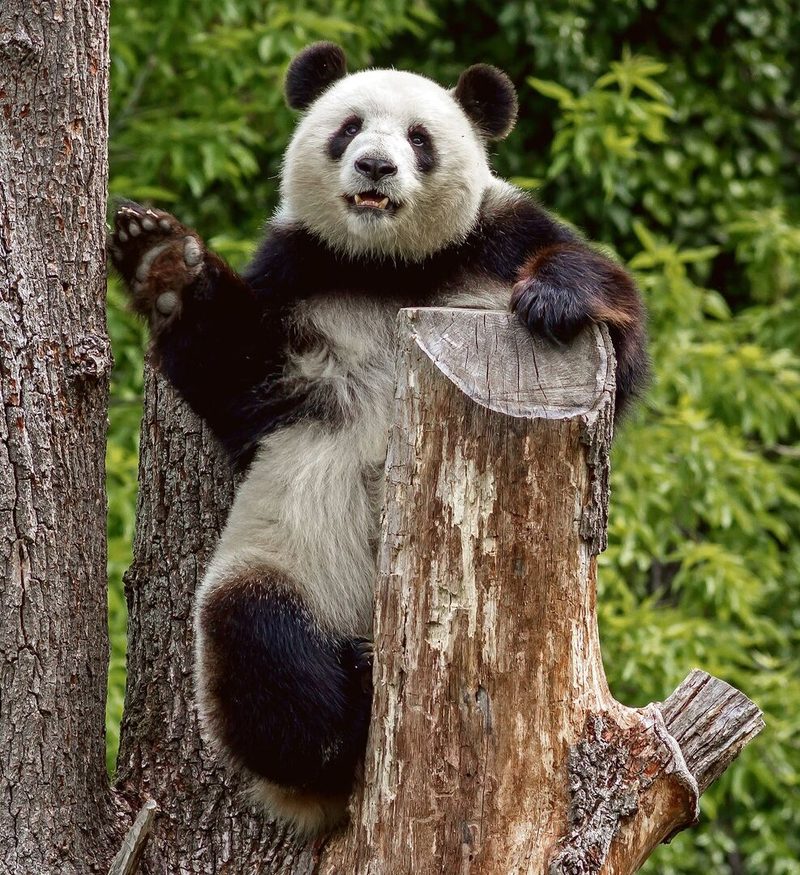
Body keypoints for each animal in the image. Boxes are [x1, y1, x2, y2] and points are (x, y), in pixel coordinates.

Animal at [109, 42, 647, 836]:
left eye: (420, 138)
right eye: (348, 127)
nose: (375, 166)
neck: (389, 267)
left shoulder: (498, 239)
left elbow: (617, 332)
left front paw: (555, 298)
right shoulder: (295, 277)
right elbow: (238, 376)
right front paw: (164, 262)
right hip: (287, 565)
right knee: (259, 646)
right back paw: (346, 716)